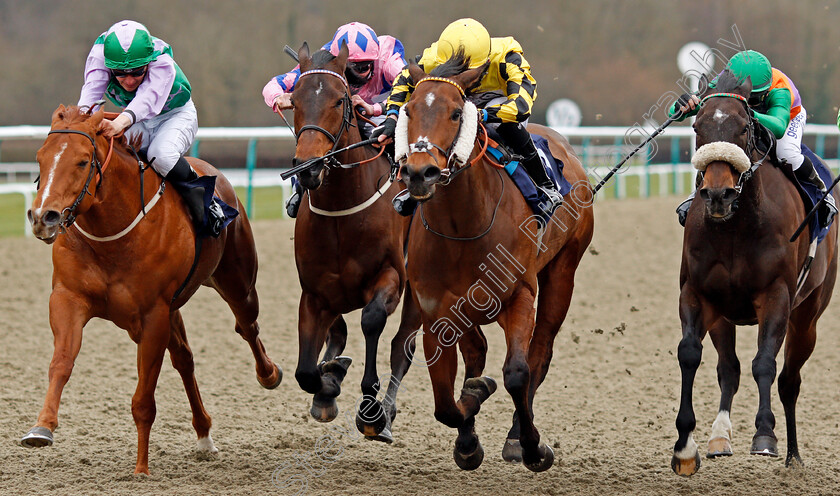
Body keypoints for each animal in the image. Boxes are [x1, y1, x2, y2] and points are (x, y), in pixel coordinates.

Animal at [23, 105, 282, 476]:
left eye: (83, 161)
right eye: (40, 158)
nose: (44, 217)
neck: (113, 234)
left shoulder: (152, 315)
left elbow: (143, 400)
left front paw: (141, 468)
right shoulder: (68, 299)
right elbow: (61, 363)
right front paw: (42, 428)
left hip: (237, 283)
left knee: (247, 326)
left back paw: (269, 374)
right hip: (167, 312)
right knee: (185, 359)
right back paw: (204, 435)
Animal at [288, 40, 420, 440]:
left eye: (339, 101)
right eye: (294, 100)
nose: (309, 167)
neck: (342, 214)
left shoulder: (392, 277)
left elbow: (372, 321)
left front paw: (370, 407)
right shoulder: (314, 293)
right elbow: (306, 371)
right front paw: (328, 384)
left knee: (402, 346)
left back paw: (385, 411)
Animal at [398, 56, 592, 470]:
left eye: (456, 113)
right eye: (408, 110)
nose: (420, 173)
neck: (463, 226)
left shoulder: (519, 295)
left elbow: (517, 373)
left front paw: (532, 446)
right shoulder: (436, 310)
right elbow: (444, 398)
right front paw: (468, 433)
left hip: (563, 271)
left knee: (540, 352)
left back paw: (518, 433)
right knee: (477, 353)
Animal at [672, 70, 836, 476]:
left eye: (744, 127)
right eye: (696, 126)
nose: (718, 195)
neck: (734, 227)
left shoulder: (776, 295)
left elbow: (764, 362)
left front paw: (765, 435)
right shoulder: (698, 294)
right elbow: (690, 354)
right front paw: (685, 446)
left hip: (808, 315)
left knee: (789, 380)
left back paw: (793, 456)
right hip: (723, 316)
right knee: (728, 369)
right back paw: (720, 436)